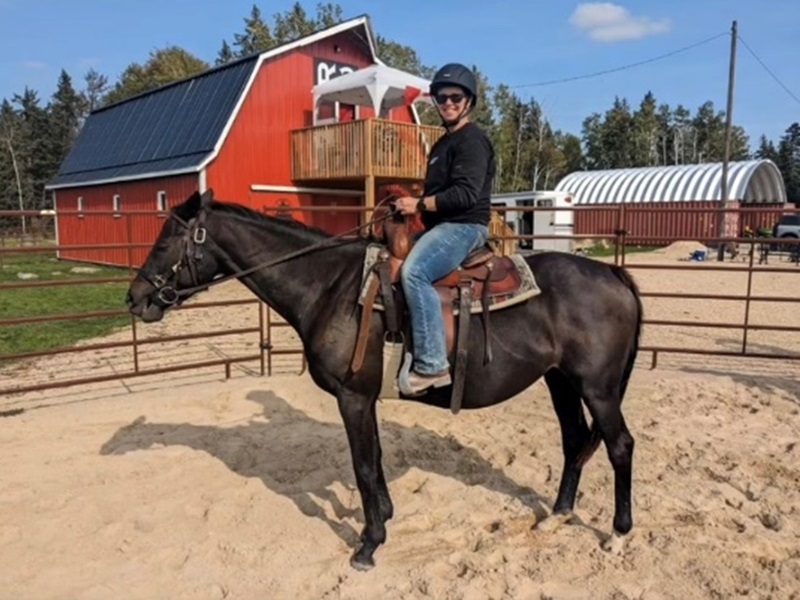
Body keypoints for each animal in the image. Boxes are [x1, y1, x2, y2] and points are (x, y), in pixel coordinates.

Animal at [126, 189, 643, 570]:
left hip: (598, 389)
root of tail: (614, 273)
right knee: (574, 440)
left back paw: (618, 535)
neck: (330, 287)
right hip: (561, 382)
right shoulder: (365, 398)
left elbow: (362, 465)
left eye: (166, 242)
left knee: (619, 445)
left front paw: (369, 543)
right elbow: (373, 459)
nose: (135, 298)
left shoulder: (352, 397)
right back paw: (558, 516)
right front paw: (385, 517)